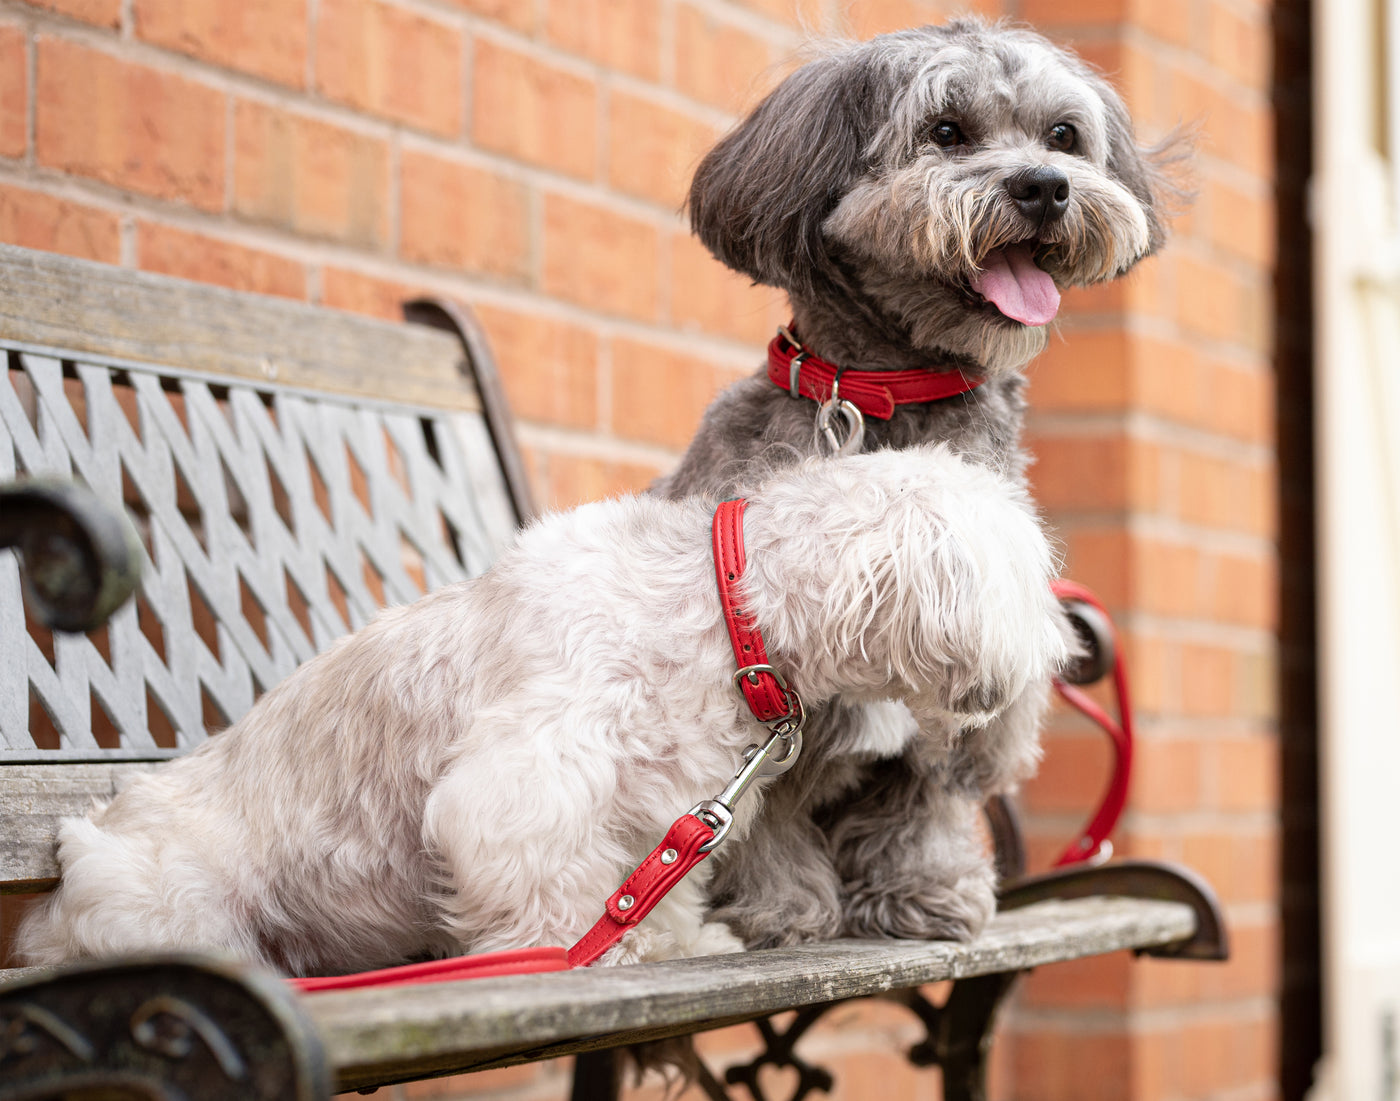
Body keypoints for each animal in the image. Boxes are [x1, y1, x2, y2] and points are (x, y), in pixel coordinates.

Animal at [16, 442, 1064, 974]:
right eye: (1025, 572)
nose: (1064, 647)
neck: (725, 607)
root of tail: (67, 875)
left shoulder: (658, 812)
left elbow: (645, 886)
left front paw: (667, 938)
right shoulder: (529, 776)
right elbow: (548, 878)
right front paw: (576, 950)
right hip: (169, 910)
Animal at [658, 17, 1181, 941]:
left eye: (1063, 135)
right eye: (946, 130)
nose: (1046, 186)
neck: (890, 394)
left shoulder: (982, 682)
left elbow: (922, 792)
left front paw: (922, 891)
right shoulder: (764, 681)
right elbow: (766, 806)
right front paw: (778, 909)